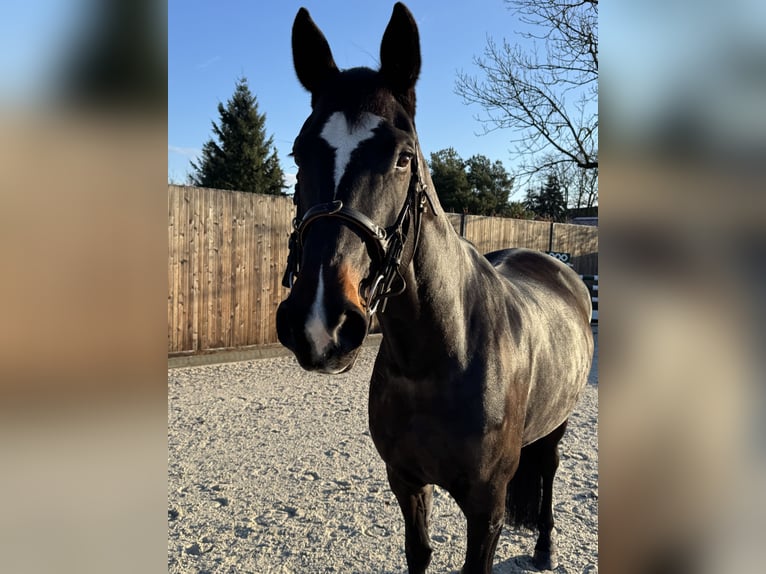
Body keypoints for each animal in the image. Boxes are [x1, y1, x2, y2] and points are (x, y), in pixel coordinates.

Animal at [280, 5, 596, 574]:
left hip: (558, 426)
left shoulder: (486, 508)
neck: (440, 355)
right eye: (298, 153)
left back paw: (544, 546)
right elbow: (419, 552)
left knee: (550, 469)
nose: (320, 322)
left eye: (404, 157)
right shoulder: (406, 482)